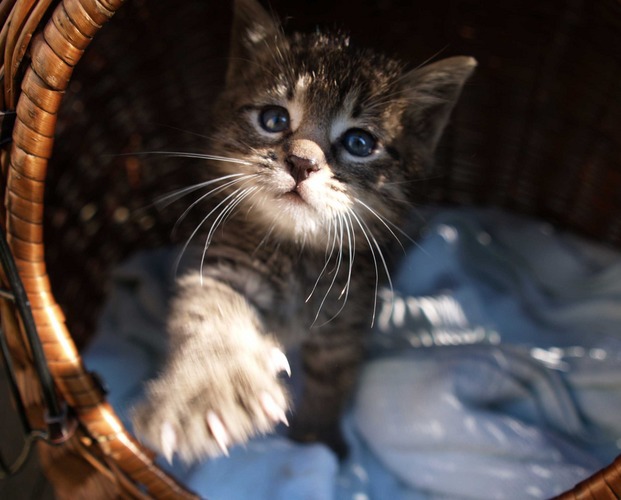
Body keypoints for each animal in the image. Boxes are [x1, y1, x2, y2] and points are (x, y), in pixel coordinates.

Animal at [131, 0, 474, 462]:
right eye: (274, 119)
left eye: (359, 143)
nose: (302, 162)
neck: (299, 251)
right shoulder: (227, 271)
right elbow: (212, 321)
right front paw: (202, 395)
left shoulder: (347, 313)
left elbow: (333, 376)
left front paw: (317, 438)